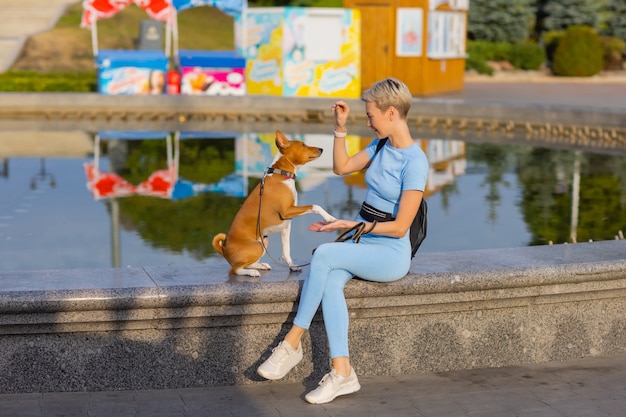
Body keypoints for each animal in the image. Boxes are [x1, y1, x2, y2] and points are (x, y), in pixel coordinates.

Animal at [211, 130, 336, 276]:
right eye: (303, 145)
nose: (321, 149)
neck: (282, 174)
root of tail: (224, 249)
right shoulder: (287, 210)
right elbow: (315, 206)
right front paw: (329, 218)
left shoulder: (286, 225)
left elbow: (286, 251)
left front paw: (292, 267)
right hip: (257, 246)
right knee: (235, 269)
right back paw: (252, 272)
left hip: (264, 241)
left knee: (246, 264)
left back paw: (261, 265)